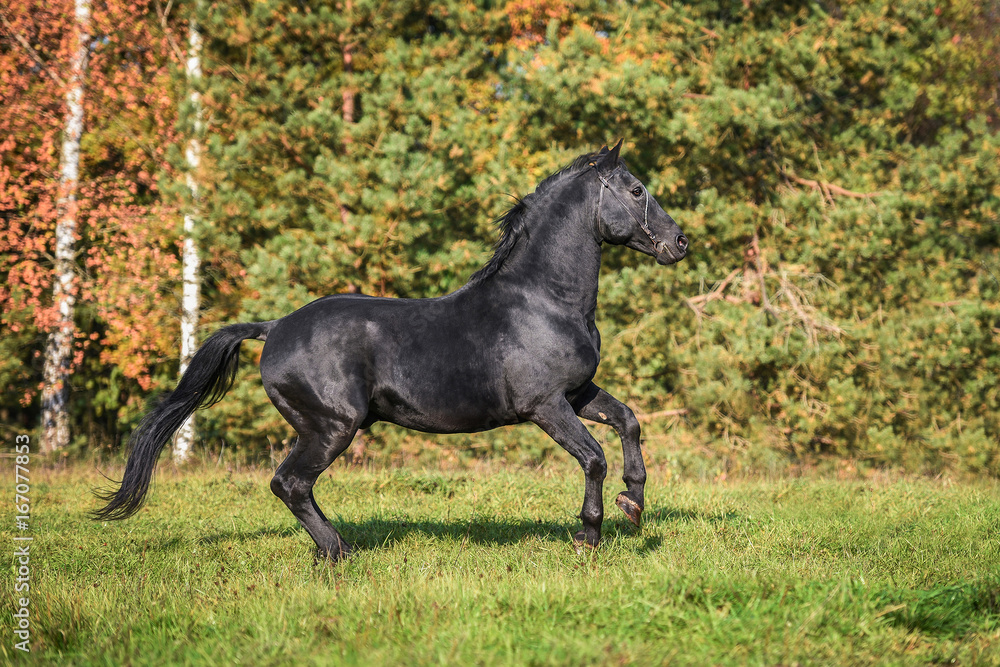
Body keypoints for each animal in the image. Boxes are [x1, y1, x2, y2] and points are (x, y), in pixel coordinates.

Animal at [94, 140, 689, 559]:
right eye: (636, 190)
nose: (680, 242)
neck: (544, 300)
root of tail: (276, 326)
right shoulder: (545, 404)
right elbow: (593, 457)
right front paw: (589, 535)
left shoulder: (578, 391)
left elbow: (629, 421)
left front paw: (634, 505)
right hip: (332, 426)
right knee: (289, 484)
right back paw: (338, 552)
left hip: (320, 428)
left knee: (294, 486)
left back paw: (330, 550)